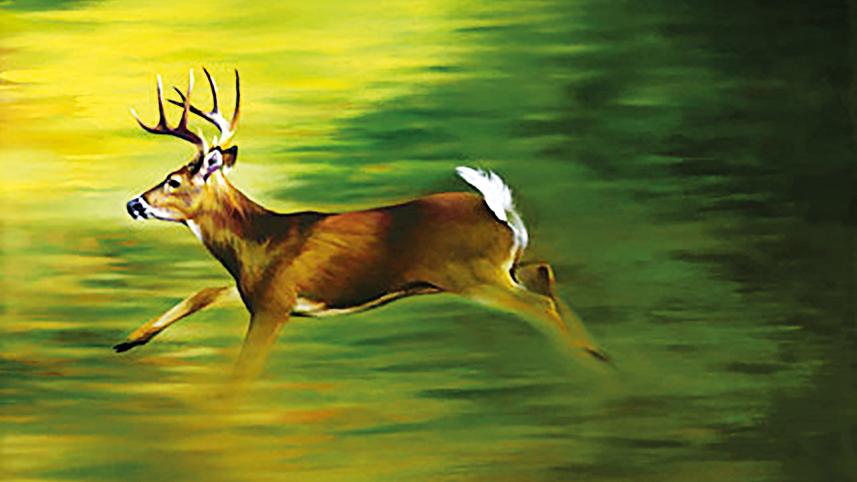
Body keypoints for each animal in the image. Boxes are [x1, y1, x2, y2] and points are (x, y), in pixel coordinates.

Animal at [116, 68, 609, 379]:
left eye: (173, 180)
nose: (133, 203)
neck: (257, 241)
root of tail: (501, 211)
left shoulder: (274, 302)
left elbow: (244, 367)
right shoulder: (259, 291)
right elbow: (204, 291)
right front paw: (131, 339)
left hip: (475, 276)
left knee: (539, 303)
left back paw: (589, 364)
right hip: (500, 267)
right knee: (543, 272)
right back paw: (600, 354)